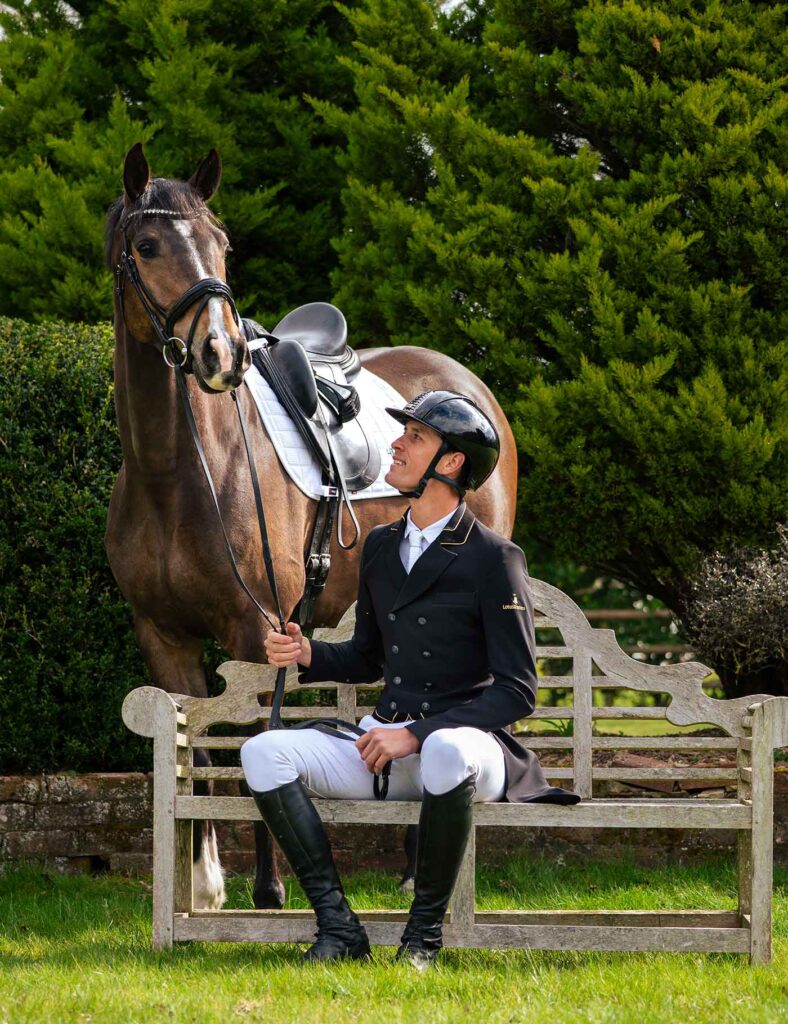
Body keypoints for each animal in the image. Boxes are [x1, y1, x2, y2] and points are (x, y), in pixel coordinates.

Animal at [104, 143, 517, 909]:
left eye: (222, 244)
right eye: (146, 246)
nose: (221, 353)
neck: (179, 472)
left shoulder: (258, 628)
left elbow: (246, 743)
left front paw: (269, 890)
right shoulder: (164, 640)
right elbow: (193, 748)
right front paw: (202, 882)